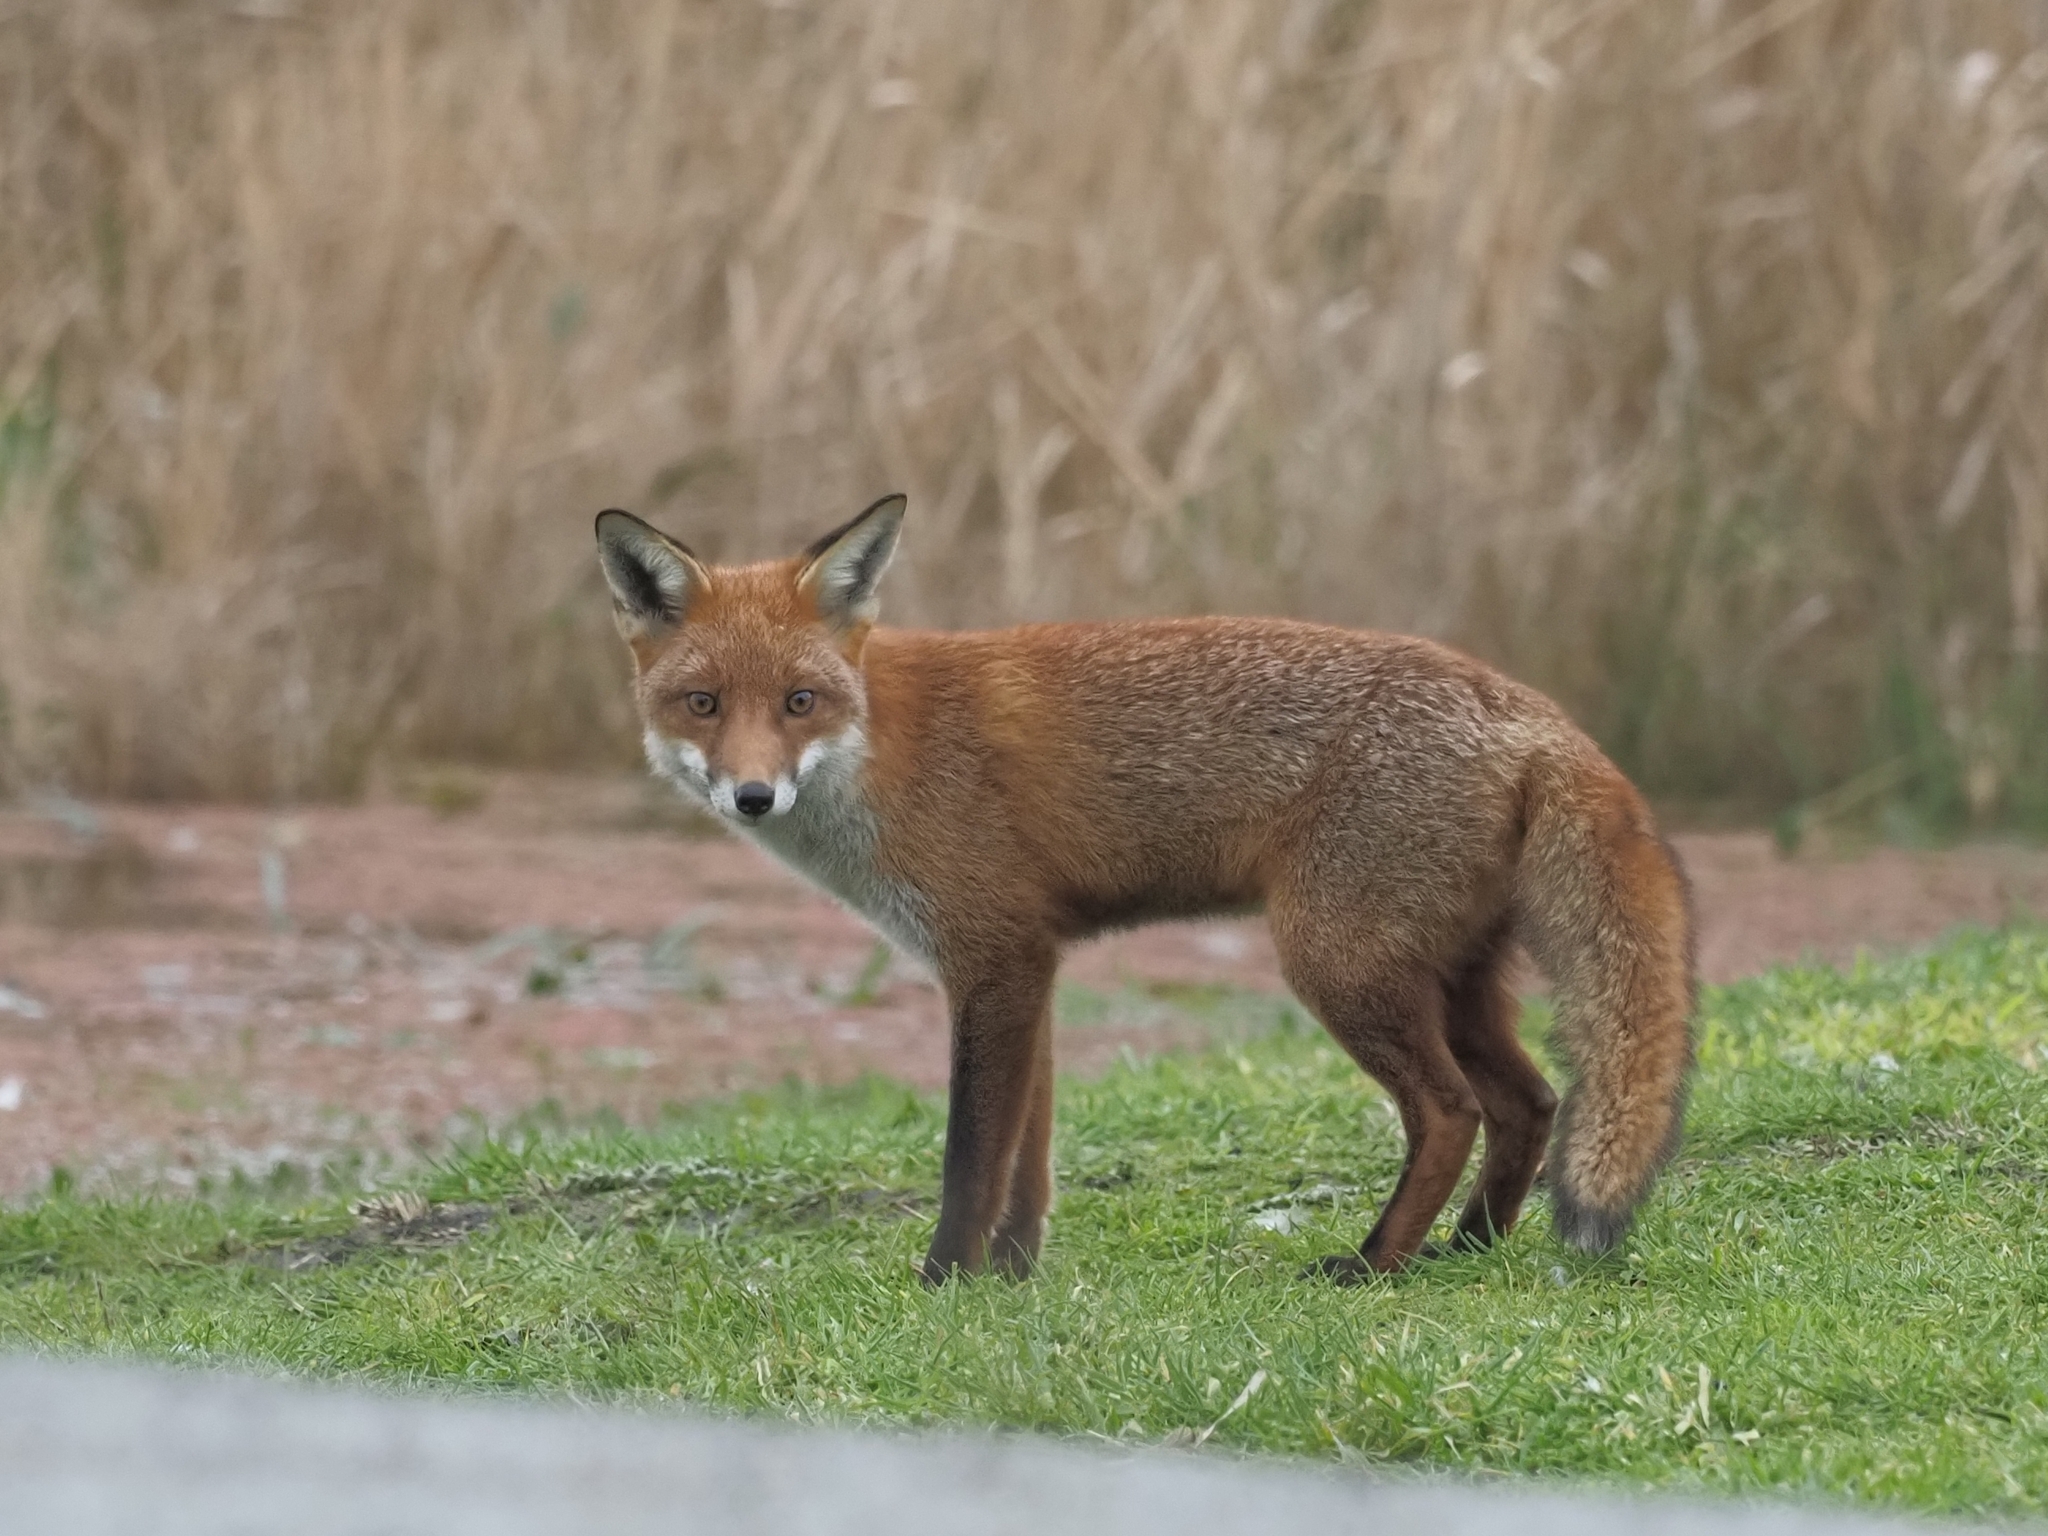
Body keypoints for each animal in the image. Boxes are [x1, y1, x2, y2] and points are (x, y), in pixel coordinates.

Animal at [593, 495, 1695, 1286]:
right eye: (702, 704)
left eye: (798, 701)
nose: (752, 794)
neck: (883, 748)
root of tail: (1531, 710)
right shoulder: (1025, 967)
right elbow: (1028, 1159)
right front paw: (1012, 1275)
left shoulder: (993, 957)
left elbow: (969, 1156)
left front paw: (943, 1280)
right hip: (1448, 978)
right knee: (1530, 1100)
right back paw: (1465, 1250)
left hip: (1338, 964)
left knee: (1450, 1111)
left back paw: (1376, 1261)